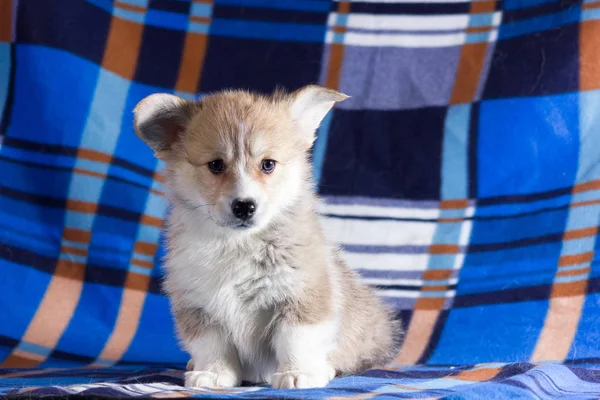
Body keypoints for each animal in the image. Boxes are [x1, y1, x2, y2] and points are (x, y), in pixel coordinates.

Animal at [134, 86, 400, 390]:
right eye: (216, 165)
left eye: (268, 164)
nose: (244, 206)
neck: (237, 244)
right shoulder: (198, 305)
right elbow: (211, 345)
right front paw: (212, 374)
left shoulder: (302, 295)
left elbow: (296, 339)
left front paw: (298, 373)